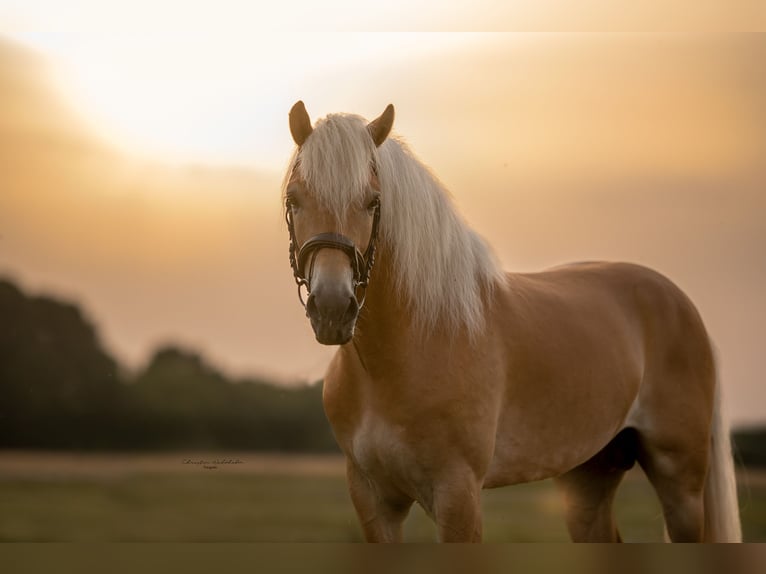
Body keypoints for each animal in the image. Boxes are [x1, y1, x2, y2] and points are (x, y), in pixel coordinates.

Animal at [282, 100, 744, 544]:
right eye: (293, 199)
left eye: (373, 203)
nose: (332, 307)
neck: (401, 355)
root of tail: (681, 303)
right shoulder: (373, 499)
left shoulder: (458, 495)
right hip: (589, 475)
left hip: (681, 483)